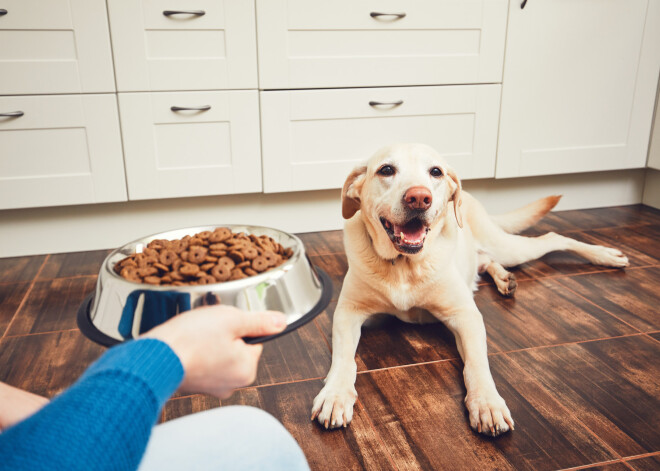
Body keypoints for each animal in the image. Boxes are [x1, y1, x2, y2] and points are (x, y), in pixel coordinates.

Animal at [310, 142, 628, 436]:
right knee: (486, 261)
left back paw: (606, 256)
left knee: (551, 237)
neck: (404, 265)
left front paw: (487, 403)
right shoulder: (348, 312)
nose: (419, 198)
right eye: (386, 170)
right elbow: (343, 359)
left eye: (435, 172)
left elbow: (476, 363)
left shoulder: (465, 316)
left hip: (508, 246)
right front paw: (335, 395)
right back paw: (505, 279)